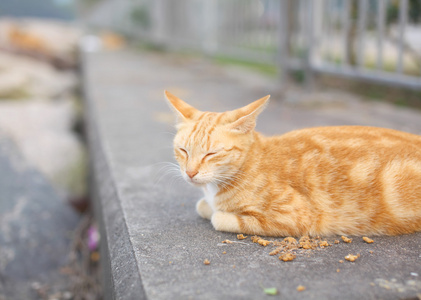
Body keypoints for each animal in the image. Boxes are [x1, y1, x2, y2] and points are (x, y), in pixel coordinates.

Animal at [164, 90, 420, 236]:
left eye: (212, 154)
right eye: (183, 150)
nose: (190, 173)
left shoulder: (296, 216)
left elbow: (218, 216)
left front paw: (218, 211)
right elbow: (203, 205)